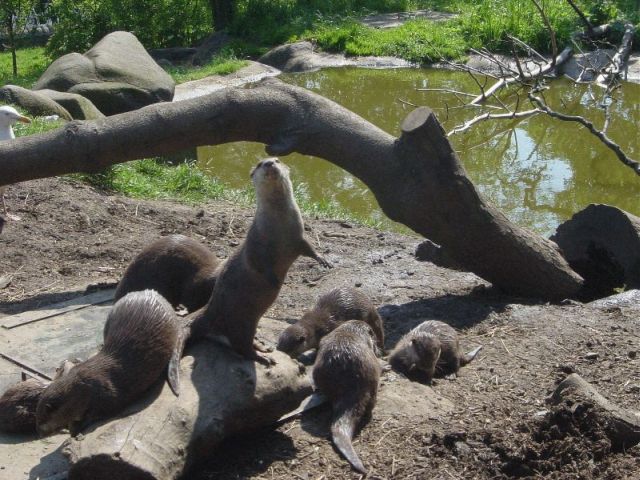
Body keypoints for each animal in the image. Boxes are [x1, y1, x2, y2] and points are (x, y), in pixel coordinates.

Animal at [36, 290, 181, 436]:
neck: (84, 388)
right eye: (37, 417)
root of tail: (149, 291)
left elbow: (101, 411)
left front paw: (78, 426)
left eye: (43, 419)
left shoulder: (107, 395)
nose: (40, 431)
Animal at [184, 158, 331, 366]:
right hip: (239, 322)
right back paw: (263, 357)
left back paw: (262, 347)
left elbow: (309, 248)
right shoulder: (255, 241)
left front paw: (322, 259)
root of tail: (207, 314)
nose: (270, 163)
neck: (279, 225)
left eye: (277, 159)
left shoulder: (298, 237)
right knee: (240, 346)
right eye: (261, 163)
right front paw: (273, 280)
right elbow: (257, 262)